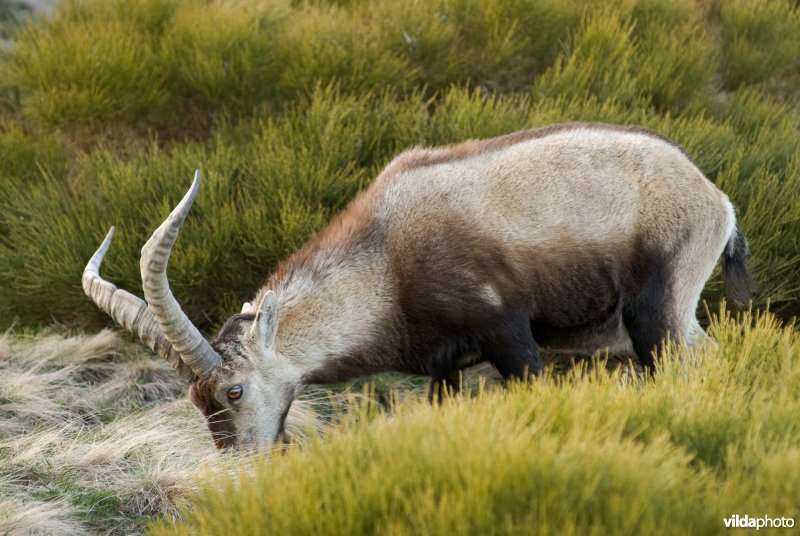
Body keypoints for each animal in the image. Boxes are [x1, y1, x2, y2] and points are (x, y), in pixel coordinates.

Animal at [84, 122, 752, 448]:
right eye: (197, 400)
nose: (244, 461)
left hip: (656, 317)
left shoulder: (512, 339)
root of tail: (715, 198)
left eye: (234, 390)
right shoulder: (446, 368)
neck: (389, 257)